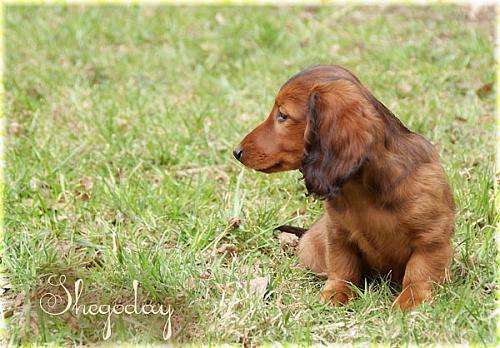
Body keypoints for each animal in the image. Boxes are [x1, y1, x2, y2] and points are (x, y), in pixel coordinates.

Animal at [232, 65, 456, 310]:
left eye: (282, 115)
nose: (236, 152)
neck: (363, 190)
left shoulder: (431, 237)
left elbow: (419, 271)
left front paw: (412, 299)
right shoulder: (338, 233)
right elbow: (343, 267)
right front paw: (335, 293)